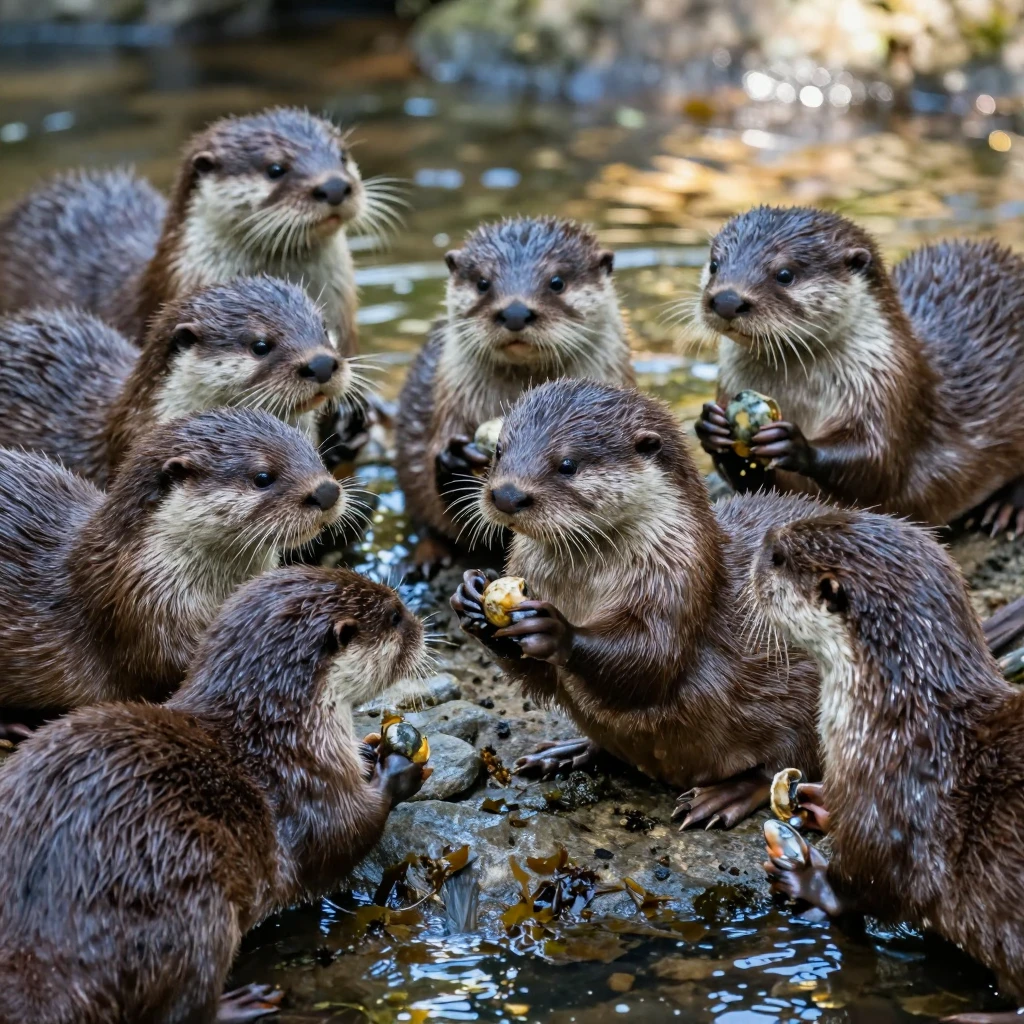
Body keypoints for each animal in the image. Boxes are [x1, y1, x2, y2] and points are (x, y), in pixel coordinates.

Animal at [0, 565, 429, 1024]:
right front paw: (396, 772)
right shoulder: (308, 787)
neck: (282, 728)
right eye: (394, 616)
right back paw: (243, 1003)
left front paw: (369, 750)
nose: (422, 625)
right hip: (193, 907)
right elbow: (347, 836)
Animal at [450, 378, 830, 828]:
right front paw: (471, 598)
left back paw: (725, 795)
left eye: (567, 464)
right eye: (499, 450)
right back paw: (567, 752)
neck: (581, 593)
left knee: (789, 764)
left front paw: (555, 630)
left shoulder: (678, 582)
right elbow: (541, 677)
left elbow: (653, 661)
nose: (507, 494)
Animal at [693, 206, 1024, 536]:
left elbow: (878, 467)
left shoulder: (891, 390)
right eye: (714, 264)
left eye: (785, 274)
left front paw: (796, 445)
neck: (802, 400)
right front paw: (712, 430)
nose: (727, 299)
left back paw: (1006, 508)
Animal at [752, 510, 1024, 1024]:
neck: (898, 715)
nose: (762, 539)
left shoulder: (891, 803)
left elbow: (873, 885)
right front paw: (817, 802)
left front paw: (807, 880)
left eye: (776, 557)